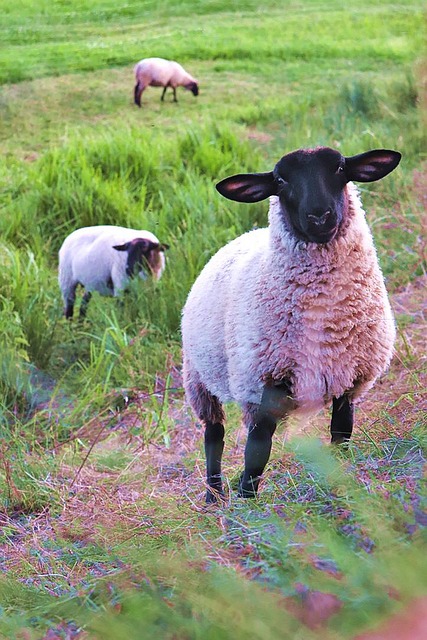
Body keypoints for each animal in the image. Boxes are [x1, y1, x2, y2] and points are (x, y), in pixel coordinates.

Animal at [182, 145, 402, 500]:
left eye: (340, 168)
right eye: (281, 181)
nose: (320, 216)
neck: (330, 327)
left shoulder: (350, 378)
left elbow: (341, 434)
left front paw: (340, 482)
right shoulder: (268, 377)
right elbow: (257, 448)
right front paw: (247, 502)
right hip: (198, 377)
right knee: (213, 435)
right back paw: (214, 495)